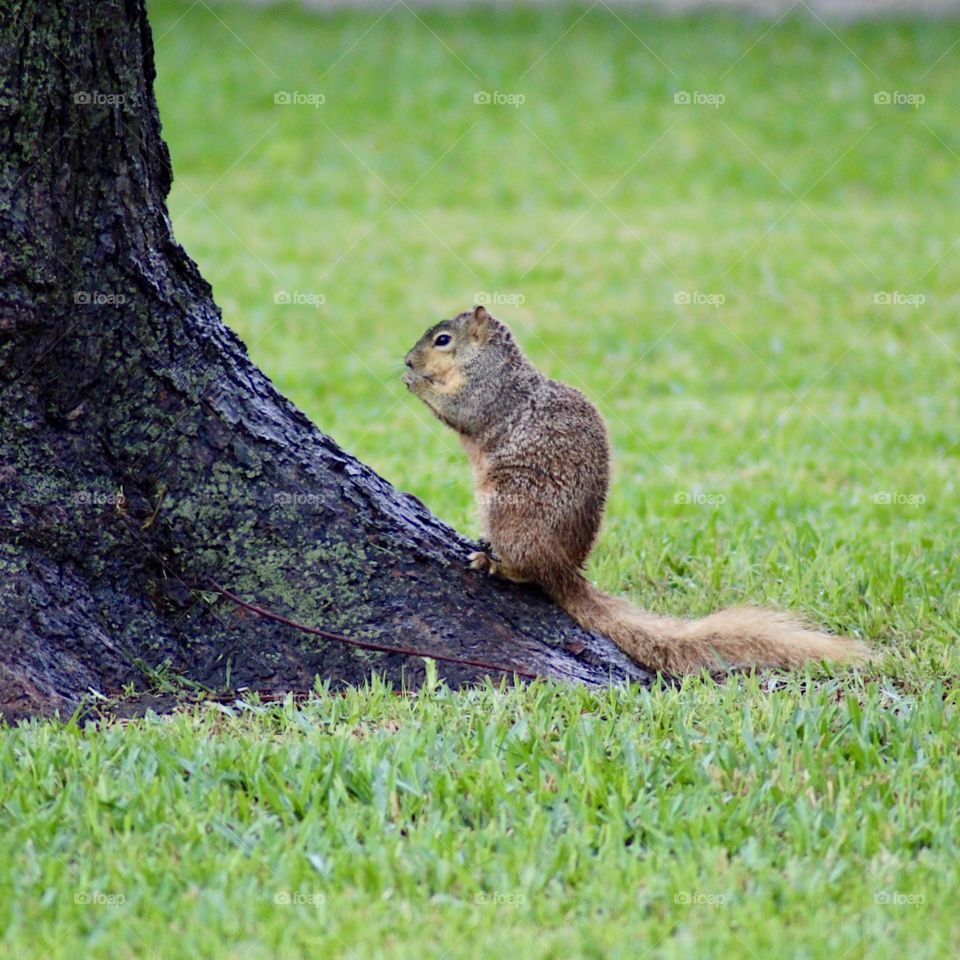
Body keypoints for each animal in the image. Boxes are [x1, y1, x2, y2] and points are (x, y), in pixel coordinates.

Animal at [402, 308, 872, 676]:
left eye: (443, 339)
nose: (407, 358)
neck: (492, 361)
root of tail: (564, 569)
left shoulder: (488, 393)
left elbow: (460, 410)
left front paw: (416, 383)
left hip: (510, 506)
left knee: (530, 573)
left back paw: (497, 564)